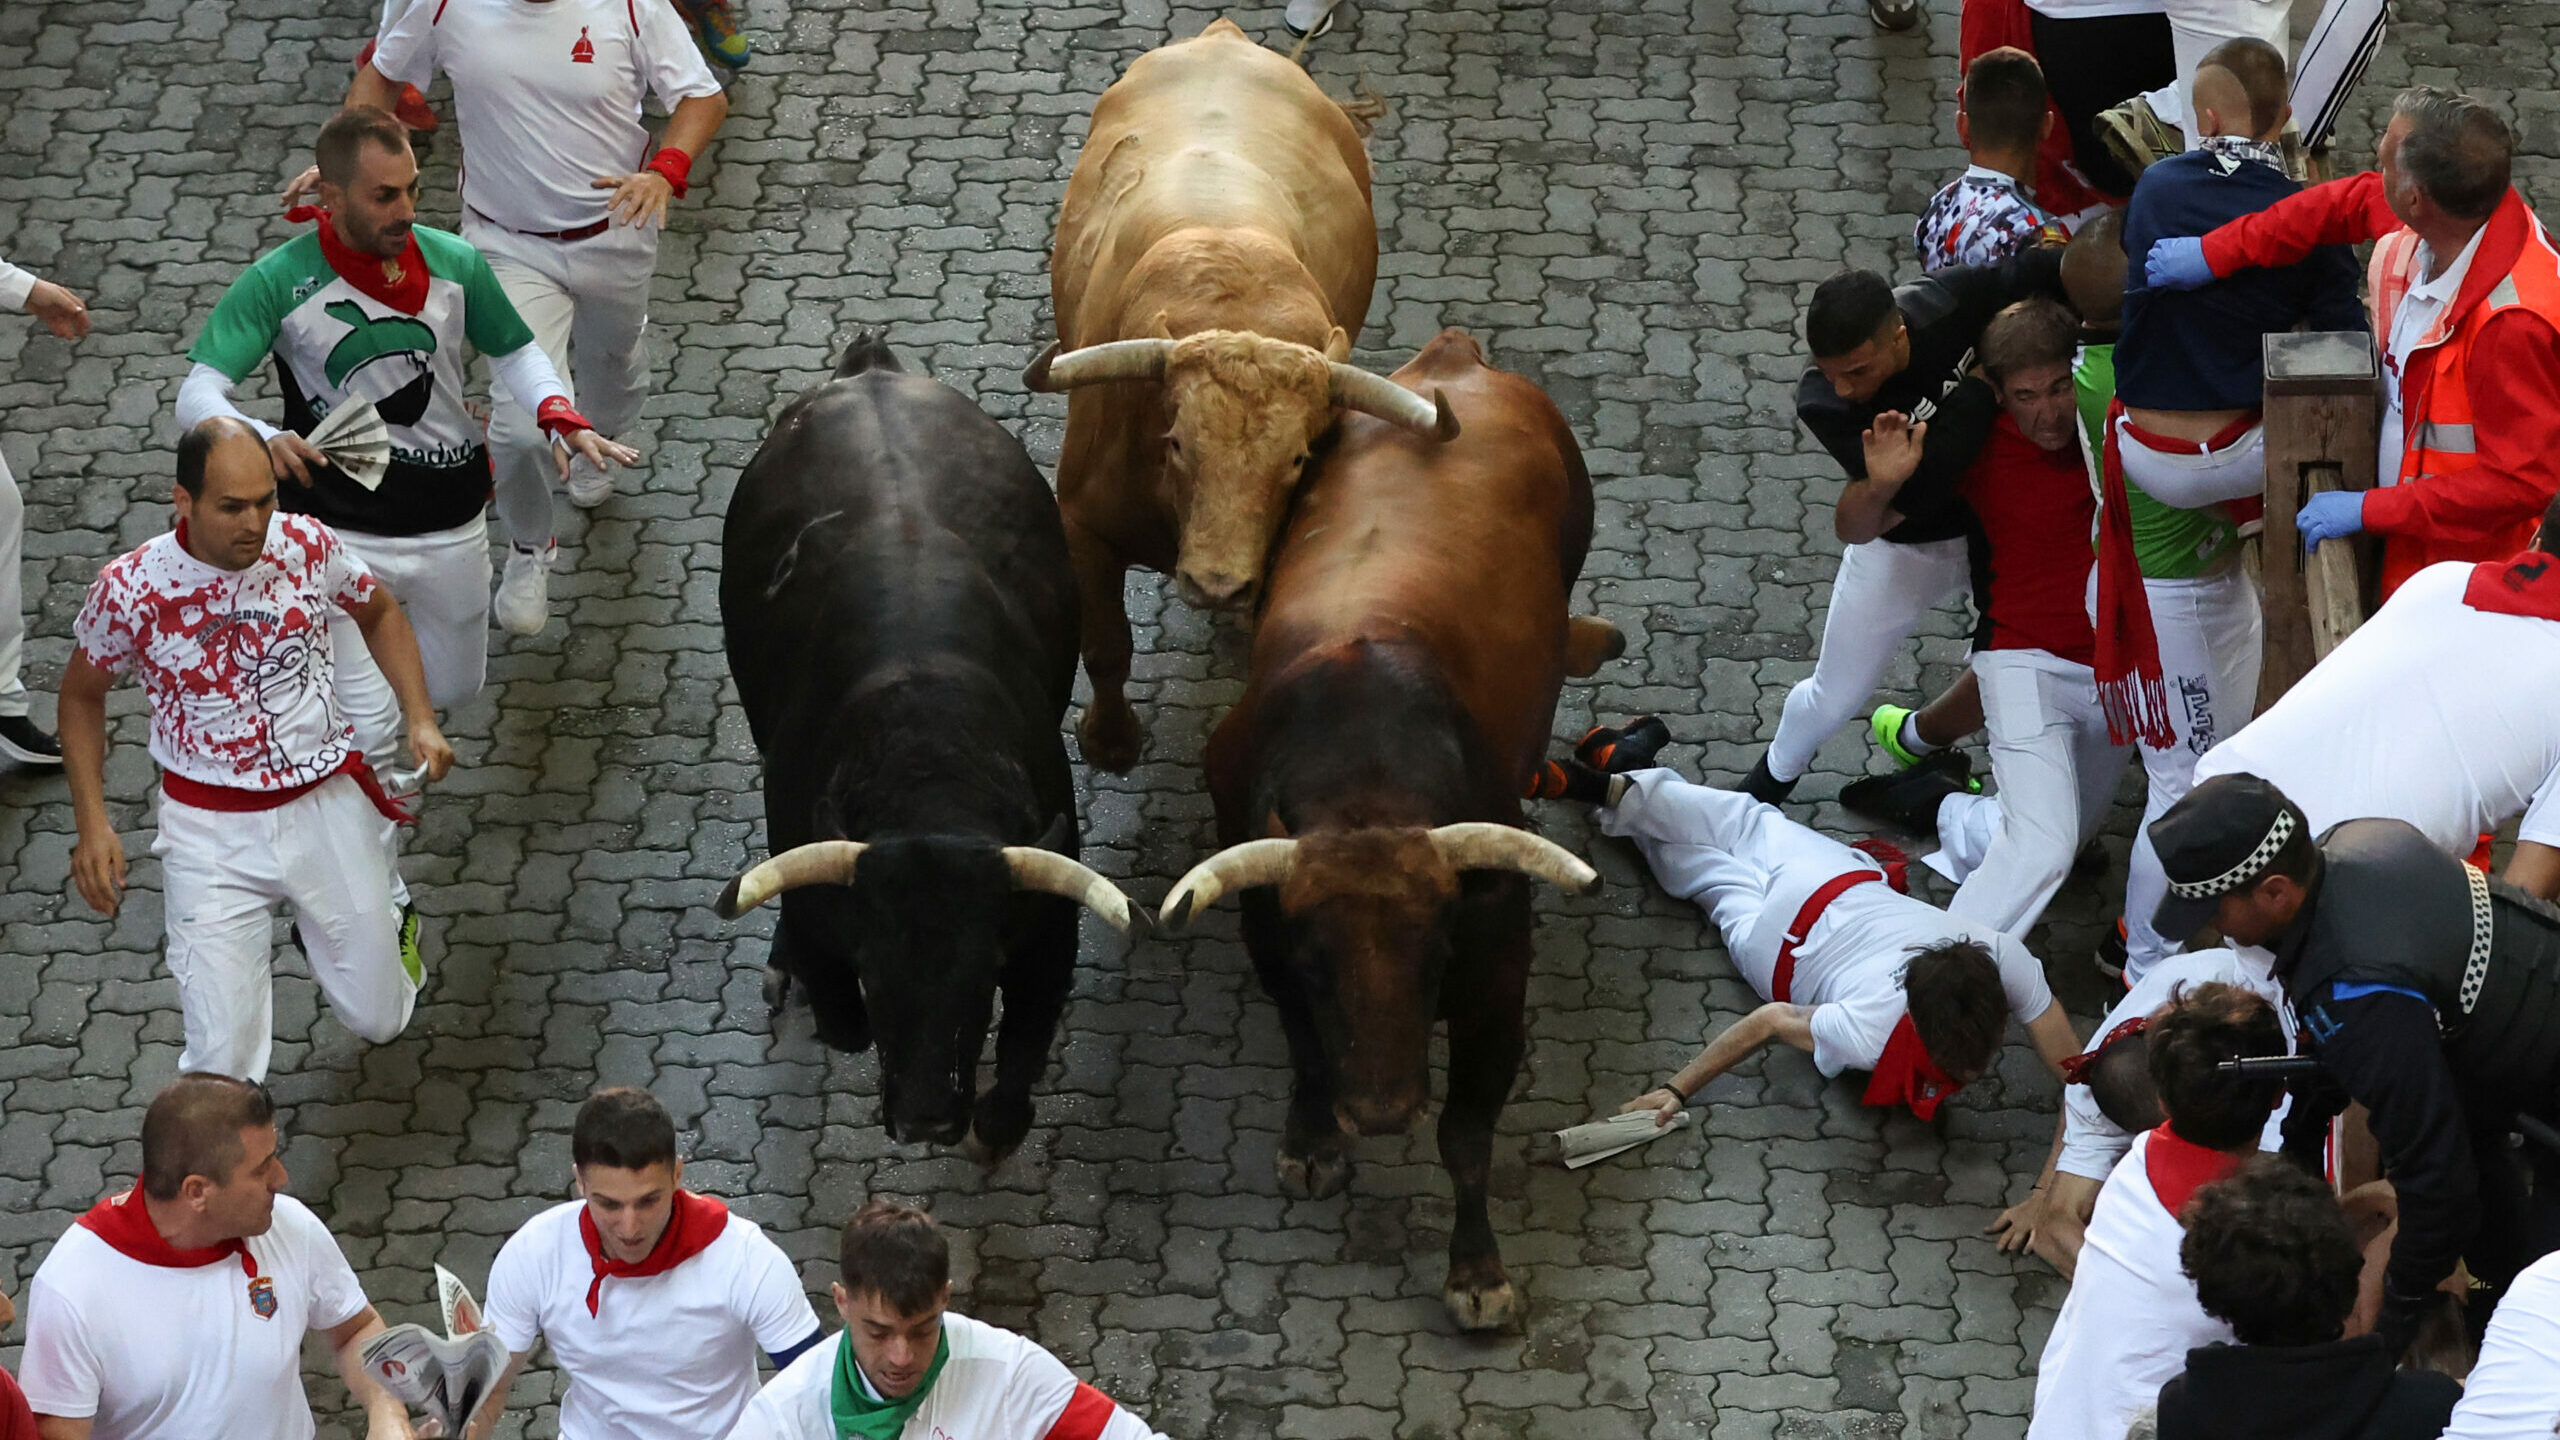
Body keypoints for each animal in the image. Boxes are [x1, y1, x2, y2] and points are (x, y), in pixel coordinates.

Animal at [716, 330, 1126, 1147]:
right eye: (875, 975)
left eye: (982, 977)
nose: (928, 1118)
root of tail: (871, 368)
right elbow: (839, 1007)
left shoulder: (1046, 936)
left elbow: (1023, 1051)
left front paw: (997, 1122)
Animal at [1029, 14, 1454, 773]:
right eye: (1176, 443)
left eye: (1298, 459)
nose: (1217, 586)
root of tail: (1224, 37)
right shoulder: (1081, 520)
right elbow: (1106, 647)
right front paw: (1109, 741)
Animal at [1162, 330, 1617, 1332]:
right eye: (1318, 957)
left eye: (1434, 946)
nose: (1377, 1110)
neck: (1365, 781)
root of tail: (1454, 356)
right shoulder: (1271, 948)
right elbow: (1305, 1050)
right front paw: (1313, 1141)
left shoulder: (1494, 988)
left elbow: (1465, 1137)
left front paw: (1477, 1272)